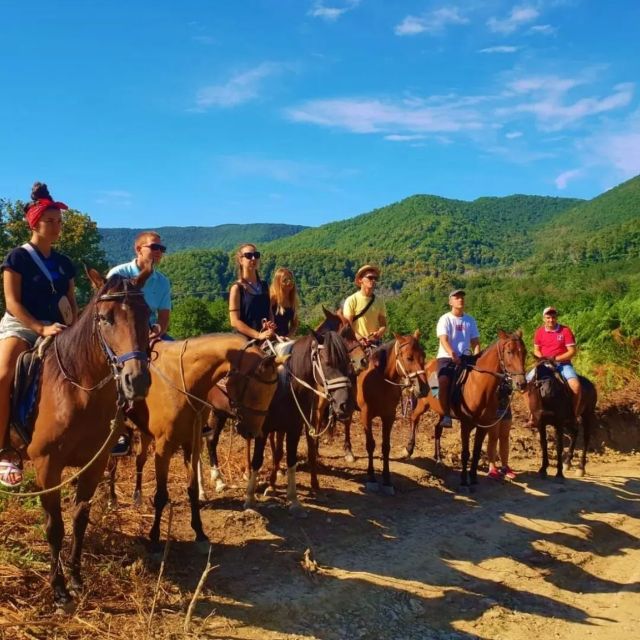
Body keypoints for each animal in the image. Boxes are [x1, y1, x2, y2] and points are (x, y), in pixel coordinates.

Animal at [5, 268, 152, 608]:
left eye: (147, 314)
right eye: (105, 318)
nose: (136, 380)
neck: (76, 389)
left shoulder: (94, 465)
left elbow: (78, 520)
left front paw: (75, 578)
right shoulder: (48, 466)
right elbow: (55, 527)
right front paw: (58, 589)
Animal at [342, 332, 428, 492]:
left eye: (424, 355)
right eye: (409, 358)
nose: (424, 388)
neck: (380, 379)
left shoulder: (389, 416)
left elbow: (386, 447)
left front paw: (387, 480)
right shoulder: (366, 415)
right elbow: (370, 445)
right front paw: (371, 477)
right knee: (346, 424)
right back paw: (348, 452)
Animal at [402, 332, 528, 488]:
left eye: (524, 352)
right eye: (509, 352)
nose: (521, 383)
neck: (479, 385)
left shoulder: (483, 426)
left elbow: (476, 452)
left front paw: (473, 478)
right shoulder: (466, 424)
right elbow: (465, 453)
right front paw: (463, 480)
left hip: (442, 413)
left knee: (437, 429)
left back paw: (439, 459)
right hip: (422, 405)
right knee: (414, 418)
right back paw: (409, 449)